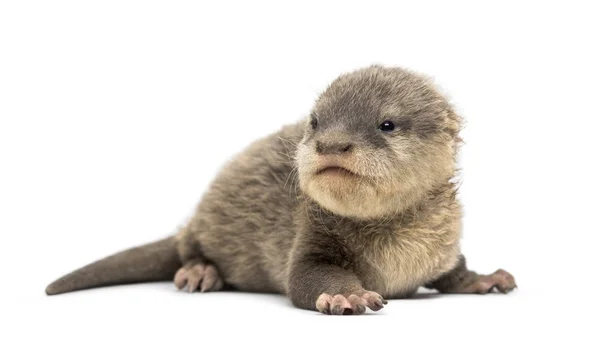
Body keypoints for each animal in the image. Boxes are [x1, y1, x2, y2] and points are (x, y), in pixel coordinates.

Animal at [45, 65, 516, 314]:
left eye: (387, 123)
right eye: (316, 121)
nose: (331, 143)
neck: (400, 248)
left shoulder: (442, 245)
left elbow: (454, 271)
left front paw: (484, 279)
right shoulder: (309, 235)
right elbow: (305, 276)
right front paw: (346, 294)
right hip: (206, 222)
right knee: (188, 246)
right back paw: (199, 273)